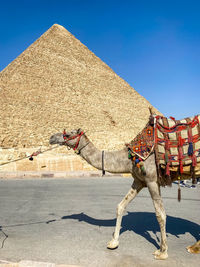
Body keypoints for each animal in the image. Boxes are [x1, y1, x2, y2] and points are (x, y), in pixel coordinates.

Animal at [48, 129, 200, 260]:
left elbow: (160, 214)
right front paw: (113, 242)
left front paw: (162, 252)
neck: (129, 159)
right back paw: (194, 247)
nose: (51, 137)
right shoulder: (139, 181)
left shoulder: (152, 180)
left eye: (67, 134)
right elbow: (120, 206)